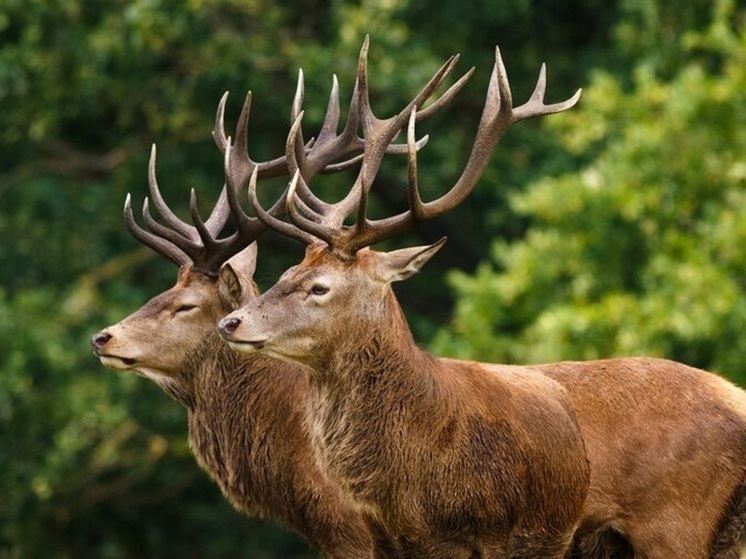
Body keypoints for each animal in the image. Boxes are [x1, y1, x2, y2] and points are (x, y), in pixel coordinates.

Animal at [217, 40, 746, 559]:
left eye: (320, 287)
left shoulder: (494, 532)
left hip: (676, 522)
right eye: (286, 273)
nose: (231, 322)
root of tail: (736, 398)